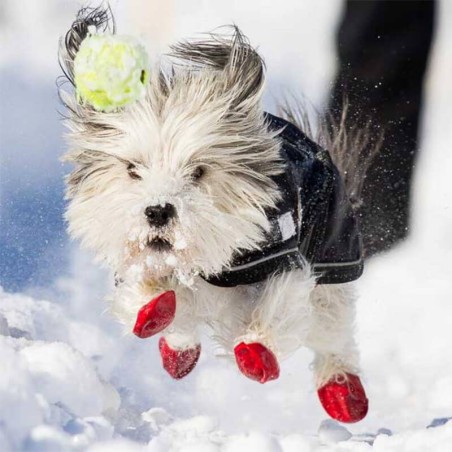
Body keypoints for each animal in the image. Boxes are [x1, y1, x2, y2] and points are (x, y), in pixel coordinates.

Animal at [59, 6, 370, 424]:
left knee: (331, 334)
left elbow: (279, 303)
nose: (158, 210)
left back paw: (343, 392)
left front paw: (257, 351)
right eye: (132, 169)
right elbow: (146, 291)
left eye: (199, 171)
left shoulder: (284, 258)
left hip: (334, 263)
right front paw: (151, 308)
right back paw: (178, 351)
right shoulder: (147, 262)